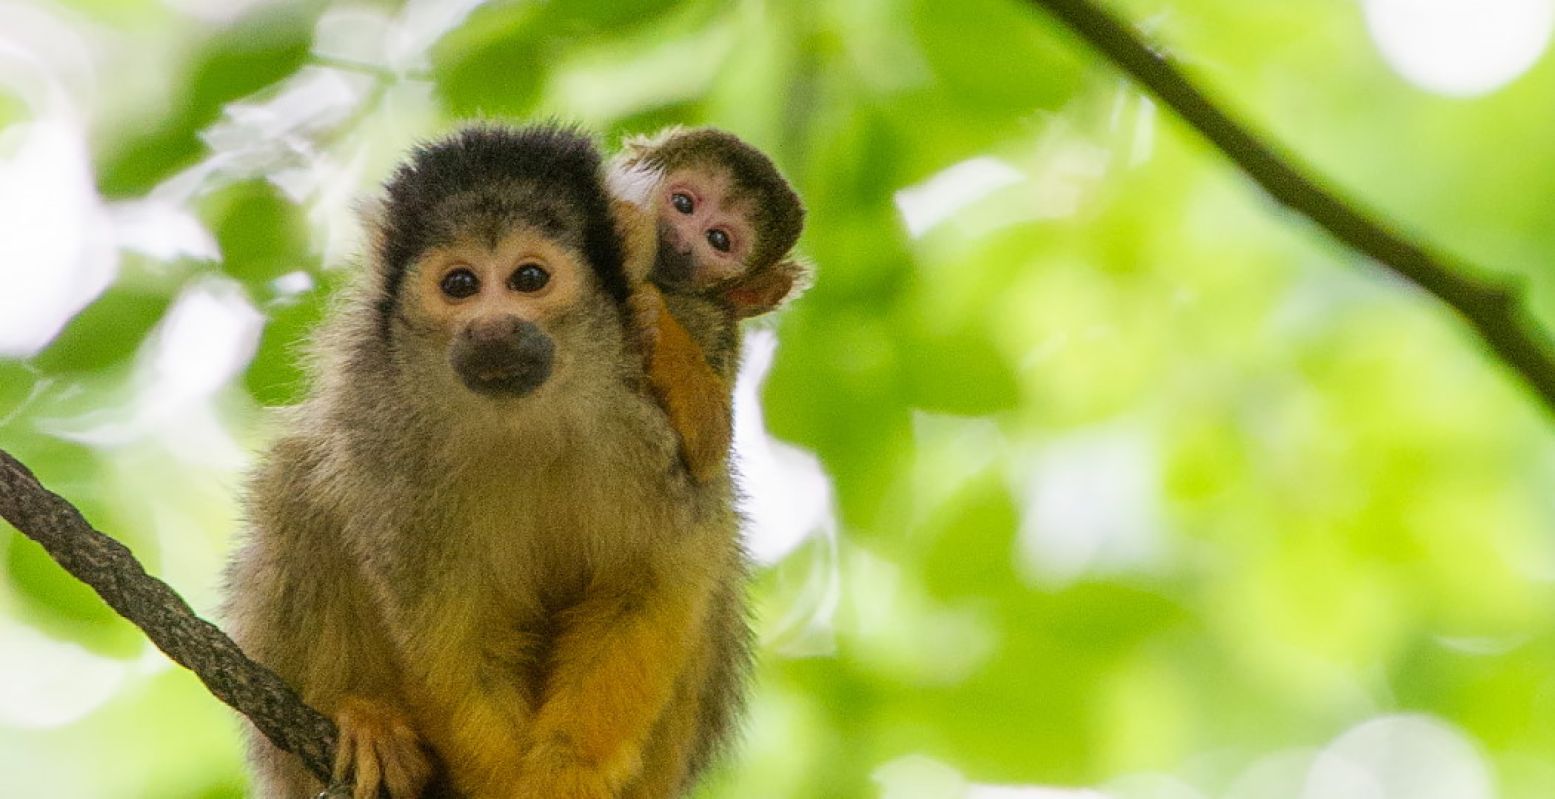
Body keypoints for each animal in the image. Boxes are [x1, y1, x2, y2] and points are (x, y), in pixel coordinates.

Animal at [227, 124, 765, 795]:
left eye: (528, 278)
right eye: (459, 286)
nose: (493, 329)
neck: (521, 416)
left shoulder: (659, 417)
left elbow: (650, 582)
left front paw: (564, 772)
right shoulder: (384, 438)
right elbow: (448, 623)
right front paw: (497, 778)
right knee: (299, 481)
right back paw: (365, 717)